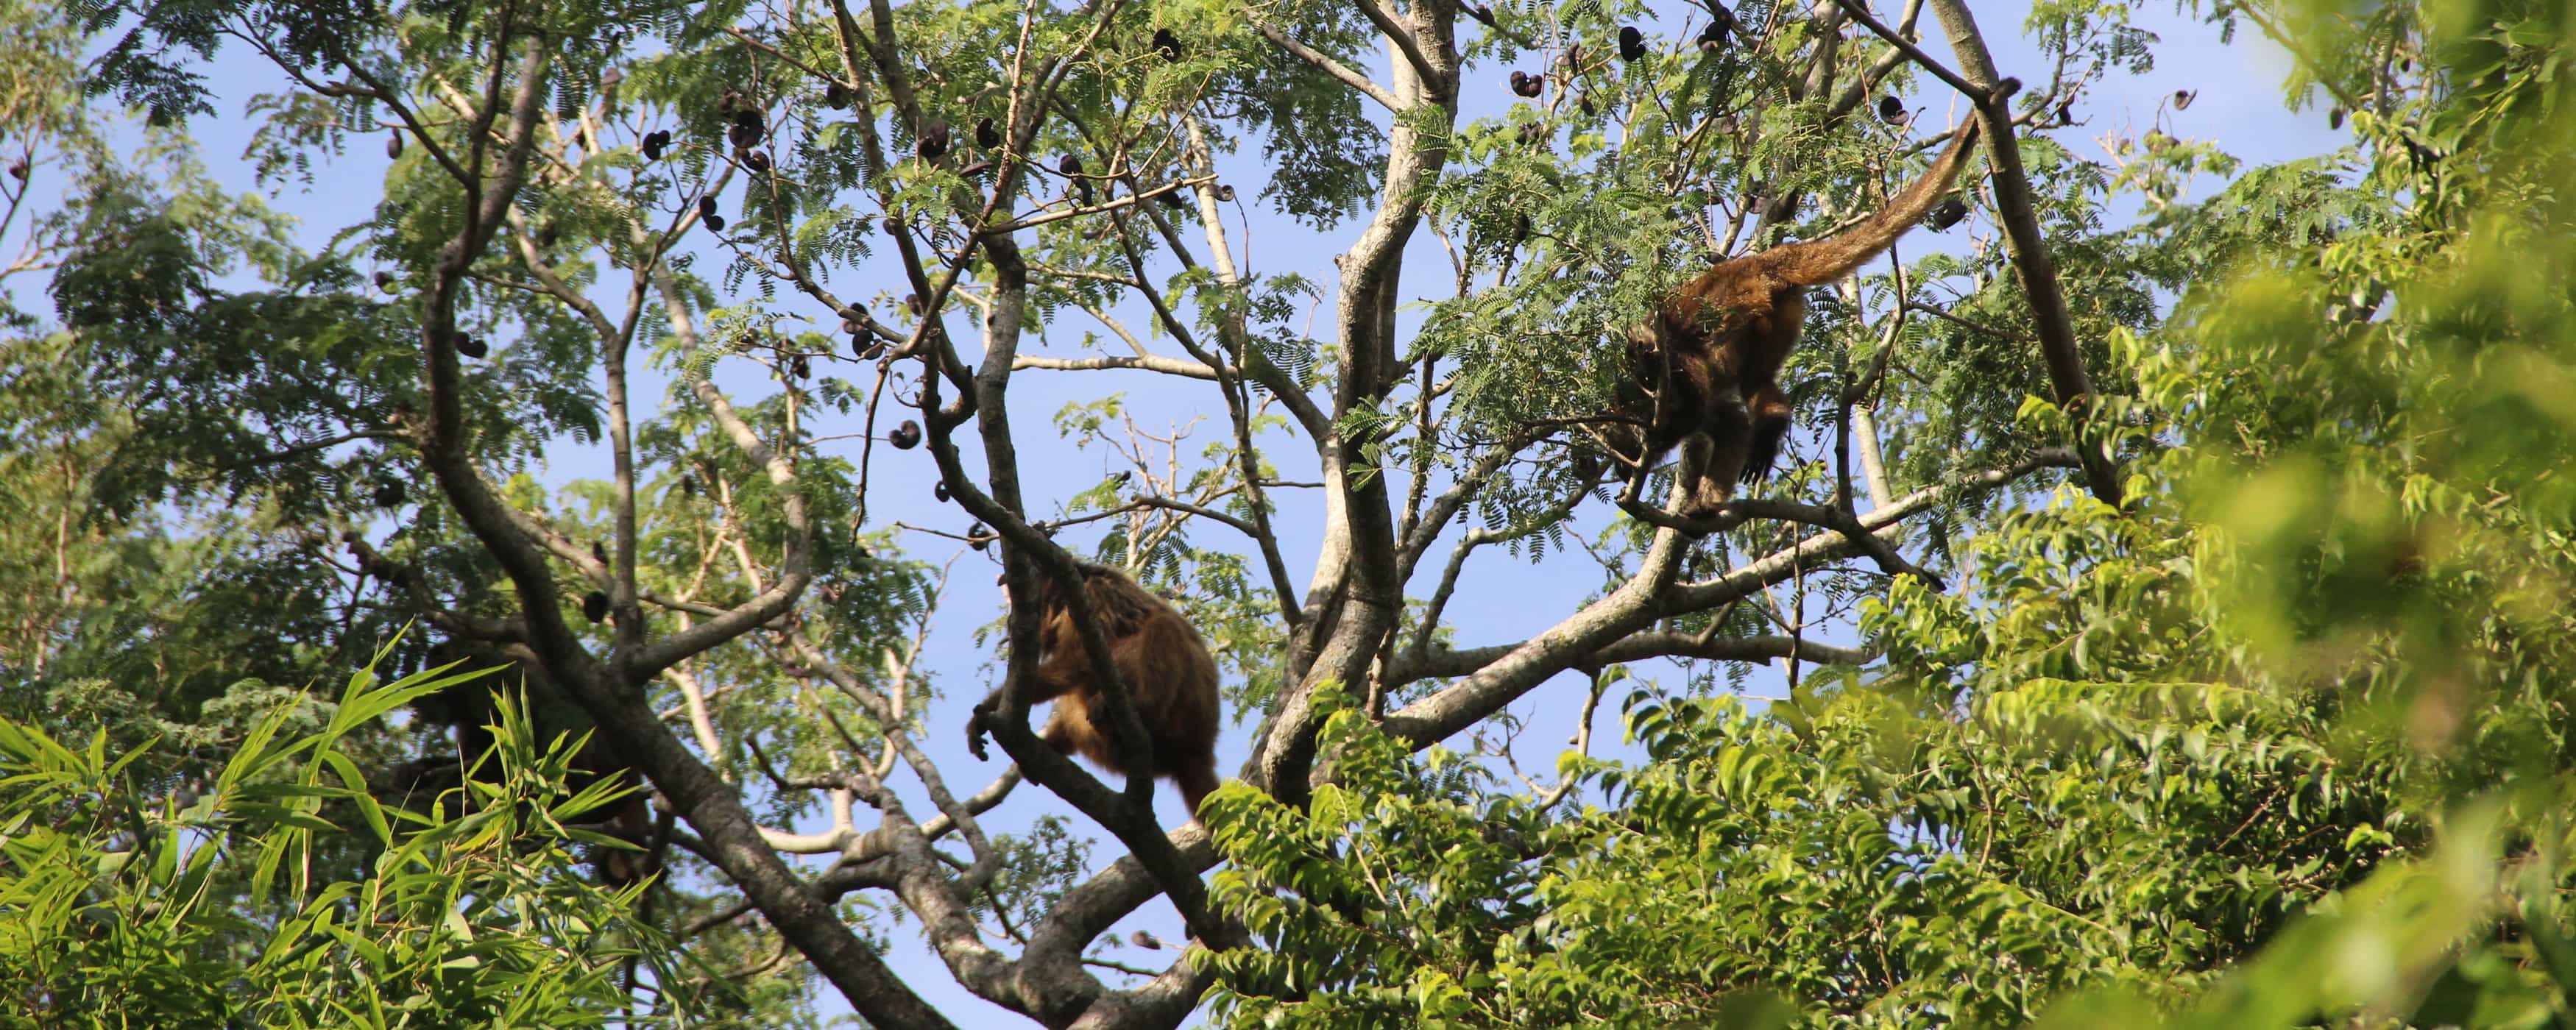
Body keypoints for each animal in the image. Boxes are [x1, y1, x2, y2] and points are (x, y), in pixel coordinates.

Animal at [966, 561, 1222, 822]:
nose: (1010, 621)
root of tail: (1200, 749)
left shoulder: (1089, 600)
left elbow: (1080, 662)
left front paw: (989, 707)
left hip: (1182, 720)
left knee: (1162, 627)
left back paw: (1143, 708)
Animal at [1601, 114, 1988, 517]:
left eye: (1619, 446)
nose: (1620, 467)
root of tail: (1763, 263)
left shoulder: (1667, 372)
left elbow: (1691, 406)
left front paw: (1659, 444)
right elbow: (1734, 426)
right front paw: (1704, 504)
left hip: (1745, 304)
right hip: (1781, 318)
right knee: (1755, 379)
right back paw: (1773, 422)